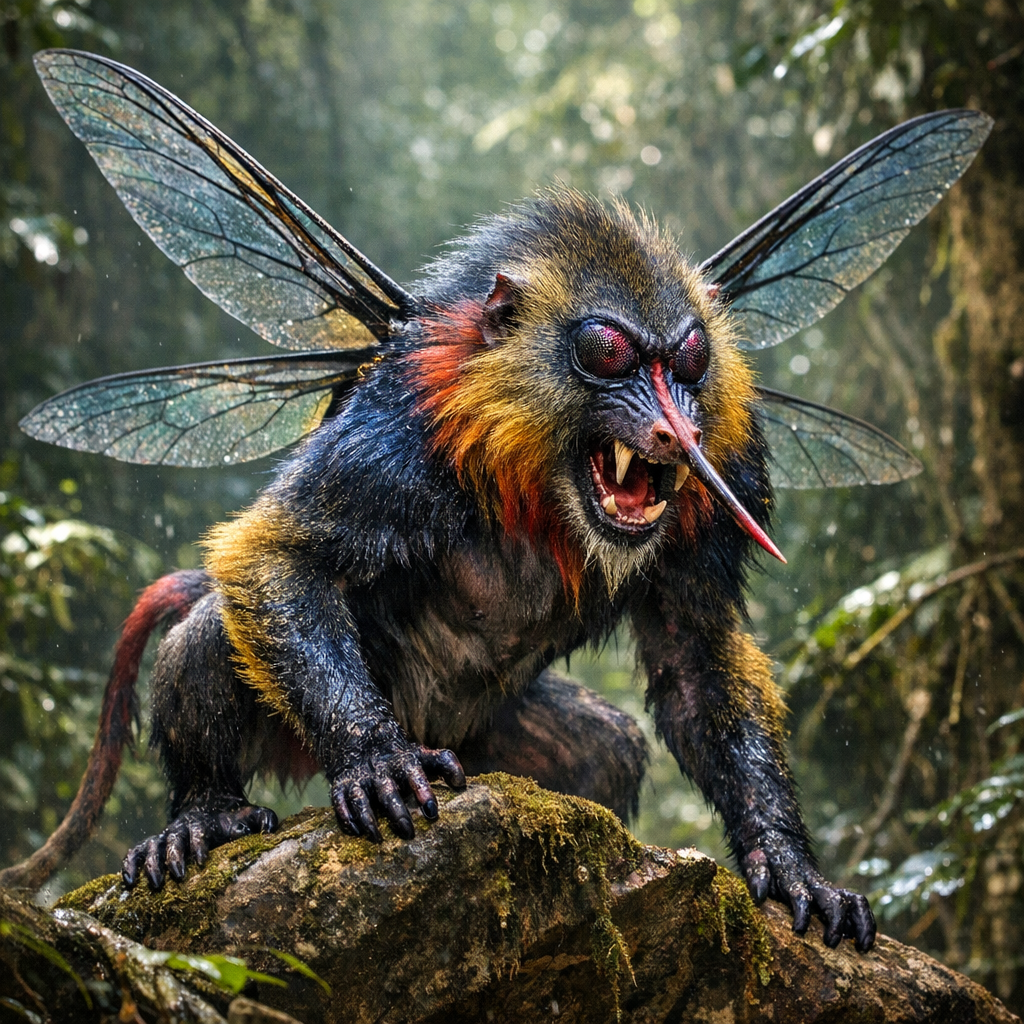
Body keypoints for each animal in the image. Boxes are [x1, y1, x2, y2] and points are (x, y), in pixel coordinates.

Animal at [3, 51, 993, 956]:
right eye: (605, 352)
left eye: (691, 359)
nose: (675, 433)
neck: (543, 480)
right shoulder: (399, 433)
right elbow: (275, 554)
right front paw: (375, 759)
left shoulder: (731, 466)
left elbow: (698, 658)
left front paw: (789, 865)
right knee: (213, 627)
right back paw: (201, 816)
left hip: (493, 741)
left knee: (607, 747)